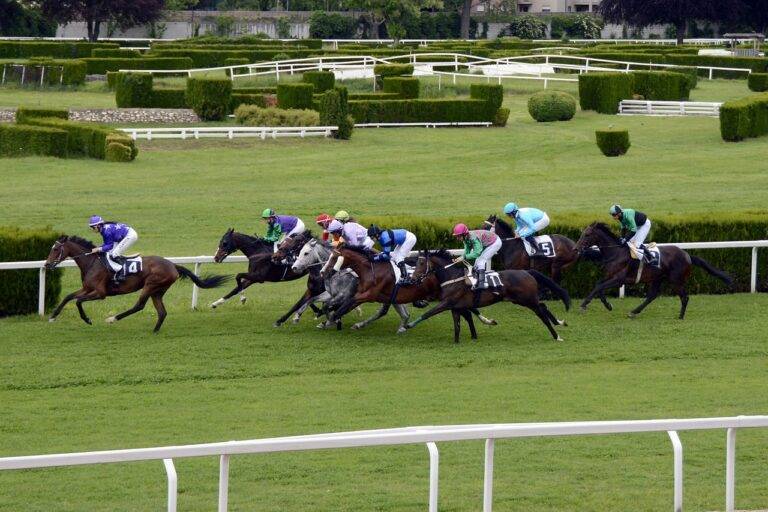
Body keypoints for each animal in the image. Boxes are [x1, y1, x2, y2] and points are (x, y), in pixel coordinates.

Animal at [44, 236, 228, 332]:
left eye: (55, 249)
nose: (46, 264)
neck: (92, 262)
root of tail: (173, 265)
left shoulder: (100, 293)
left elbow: (78, 301)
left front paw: (87, 319)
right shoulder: (86, 288)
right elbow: (68, 297)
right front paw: (53, 316)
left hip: (150, 285)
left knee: (139, 305)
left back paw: (112, 318)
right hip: (157, 291)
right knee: (162, 312)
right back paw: (154, 331)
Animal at [320, 246, 498, 338]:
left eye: (334, 258)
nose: (323, 272)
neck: (370, 269)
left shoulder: (367, 295)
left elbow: (345, 305)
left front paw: (330, 319)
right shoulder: (378, 295)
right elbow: (346, 305)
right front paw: (329, 318)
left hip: (446, 296)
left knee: (467, 310)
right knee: (466, 311)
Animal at [402, 250, 568, 342]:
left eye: (421, 263)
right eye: (415, 263)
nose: (412, 279)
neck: (452, 277)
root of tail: (526, 271)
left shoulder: (447, 303)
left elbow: (428, 313)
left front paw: (407, 325)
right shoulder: (455, 306)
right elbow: (457, 326)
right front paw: (456, 342)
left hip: (527, 300)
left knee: (542, 314)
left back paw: (557, 336)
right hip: (521, 300)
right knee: (543, 306)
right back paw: (559, 322)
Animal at [576, 224, 732, 320]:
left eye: (587, 234)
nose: (576, 248)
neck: (616, 252)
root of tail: (687, 255)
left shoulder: (618, 279)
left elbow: (599, 287)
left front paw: (584, 305)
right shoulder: (609, 276)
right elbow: (598, 286)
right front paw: (608, 305)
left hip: (676, 281)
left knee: (684, 297)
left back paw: (680, 316)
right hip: (657, 278)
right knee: (652, 295)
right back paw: (634, 312)